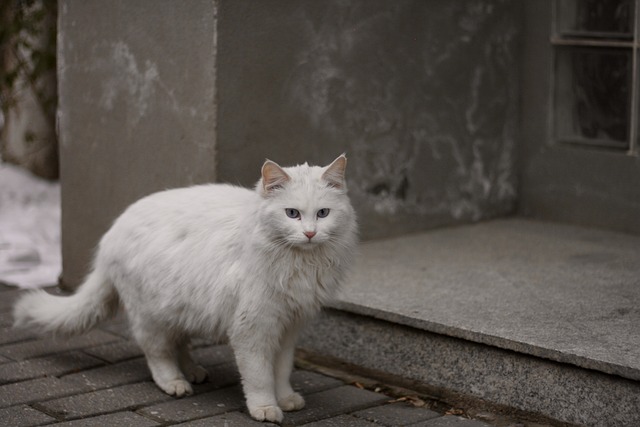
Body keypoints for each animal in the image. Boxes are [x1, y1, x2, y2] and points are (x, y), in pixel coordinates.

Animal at [13, 155, 360, 424]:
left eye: (323, 214)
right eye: (292, 214)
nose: (310, 233)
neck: (300, 263)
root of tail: (112, 233)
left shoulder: (289, 327)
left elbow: (282, 371)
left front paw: (286, 398)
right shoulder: (253, 328)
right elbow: (260, 375)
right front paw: (265, 408)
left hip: (183, 308)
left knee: (179, 343)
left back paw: (193, 371)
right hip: (150, 316)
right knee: (157, 353)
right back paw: (175, 382)